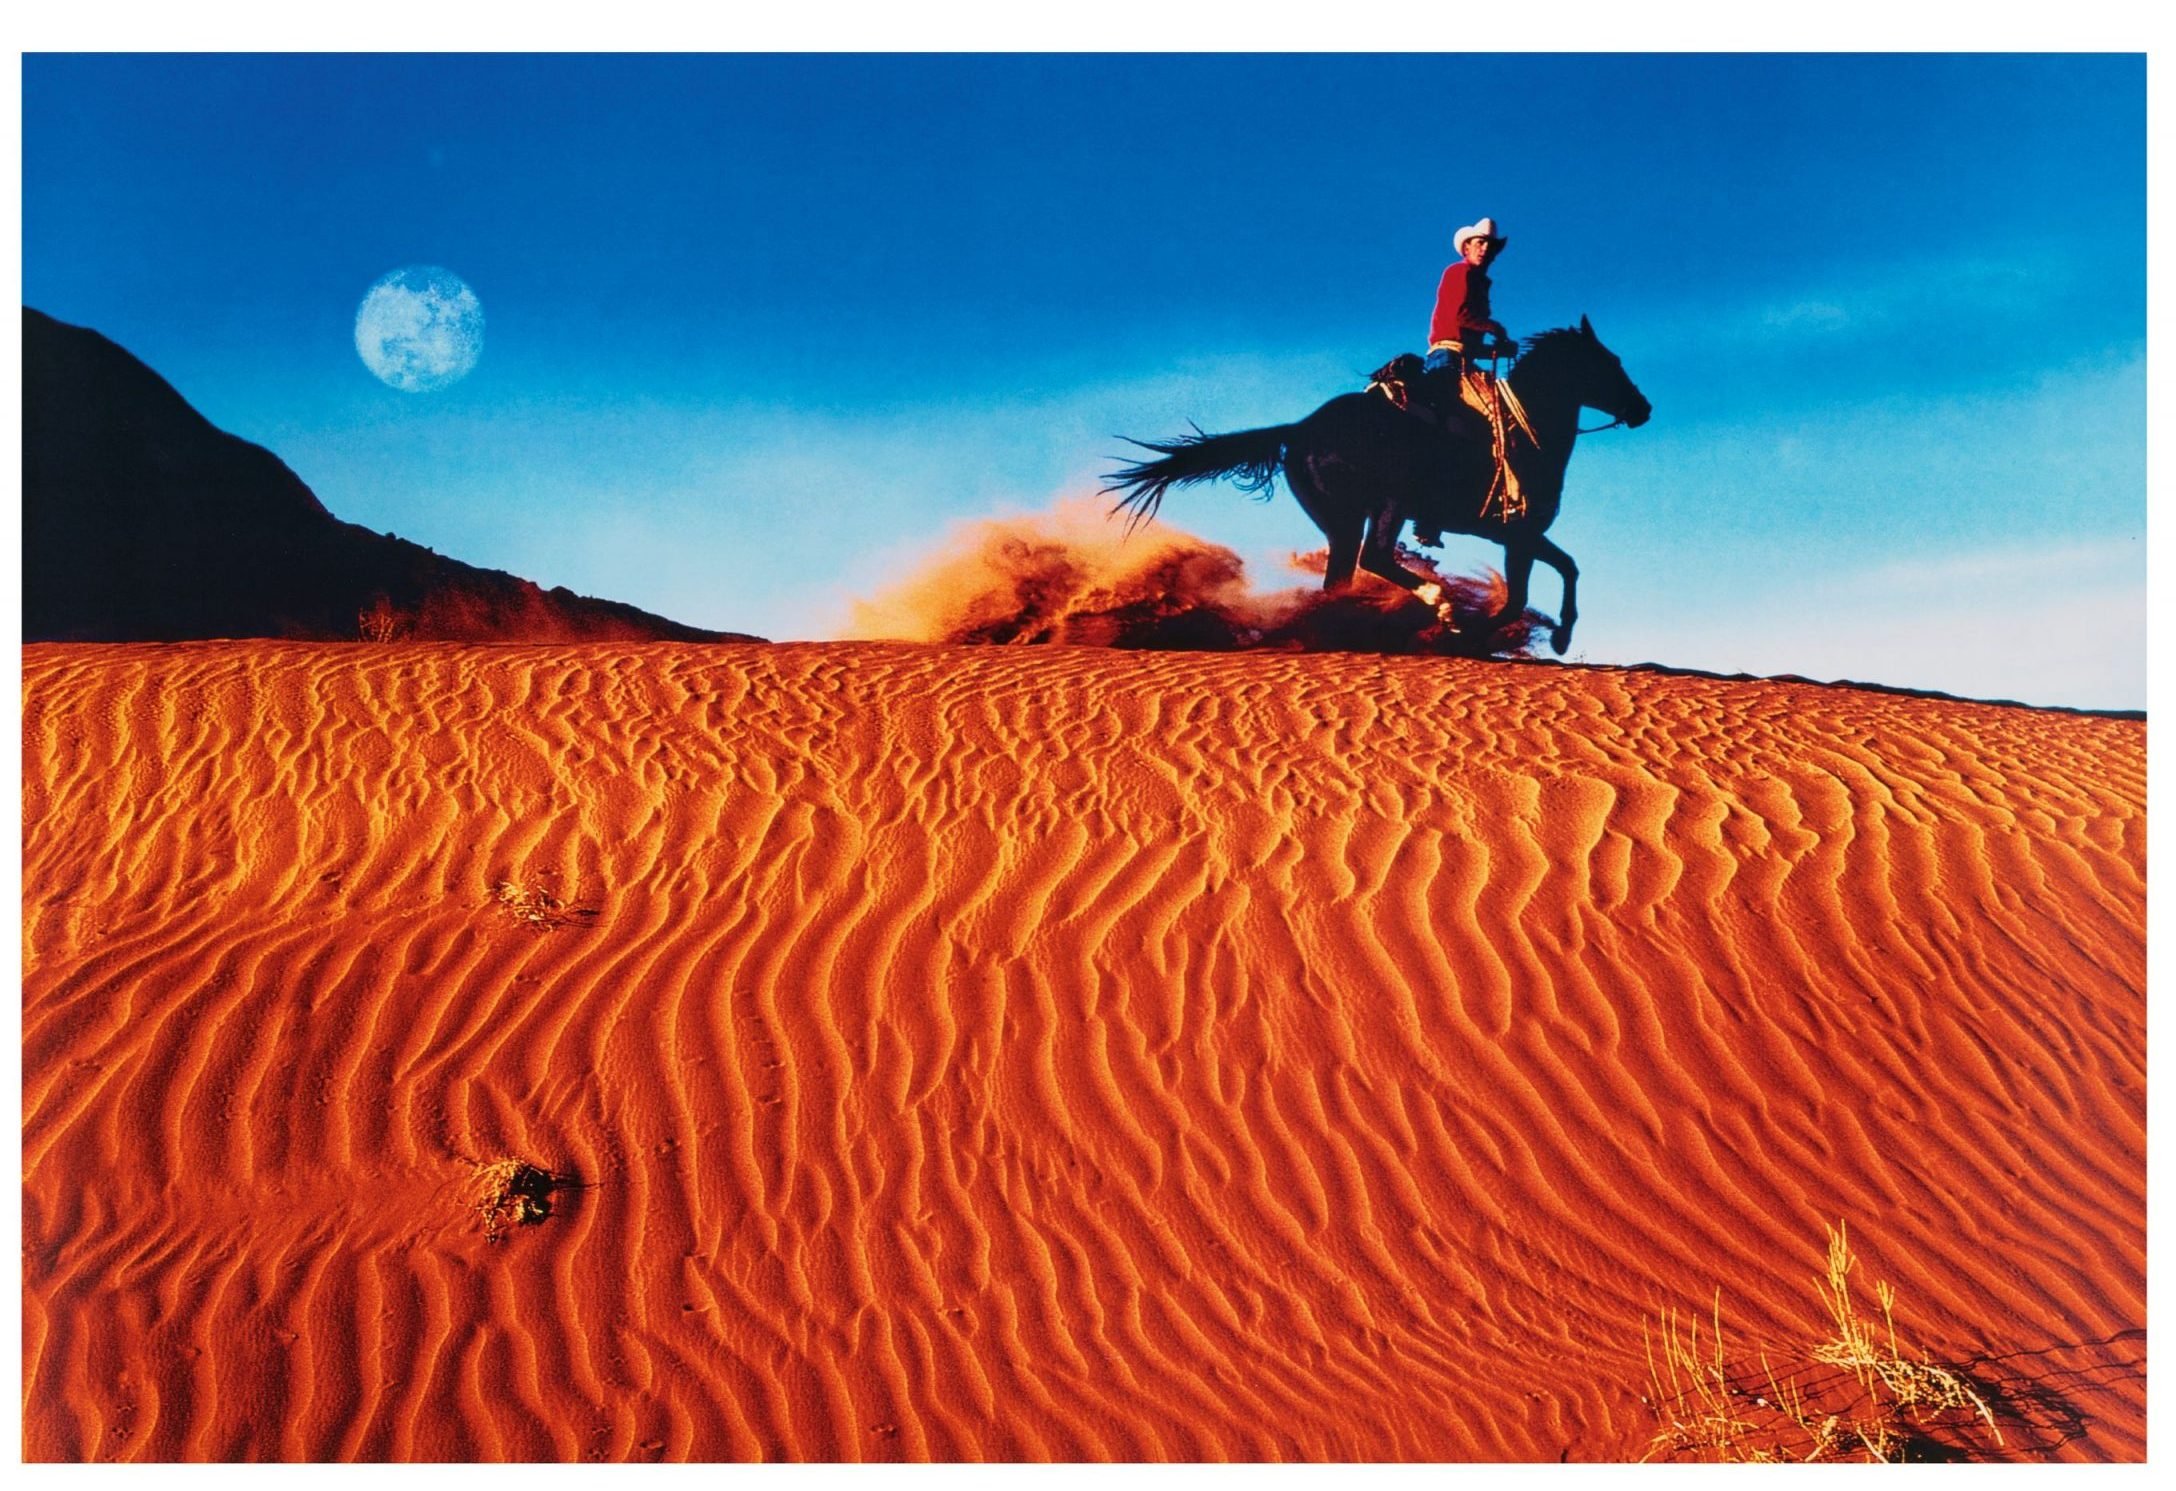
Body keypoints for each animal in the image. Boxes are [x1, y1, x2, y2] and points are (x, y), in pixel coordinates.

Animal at [1105, 317, 1645, 652]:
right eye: (1611, 363)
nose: (1644, 409)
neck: (1528, 428)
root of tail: (1299, 430)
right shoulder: (1518, 532)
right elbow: (1524, 593)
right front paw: (1474, 637)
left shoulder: (1517, 534)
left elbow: (1567, 568)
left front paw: (1555, 636)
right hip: (1388, 504)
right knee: (1376, 557)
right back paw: (1441, 605)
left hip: (1340, 522)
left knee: (1340, 579)